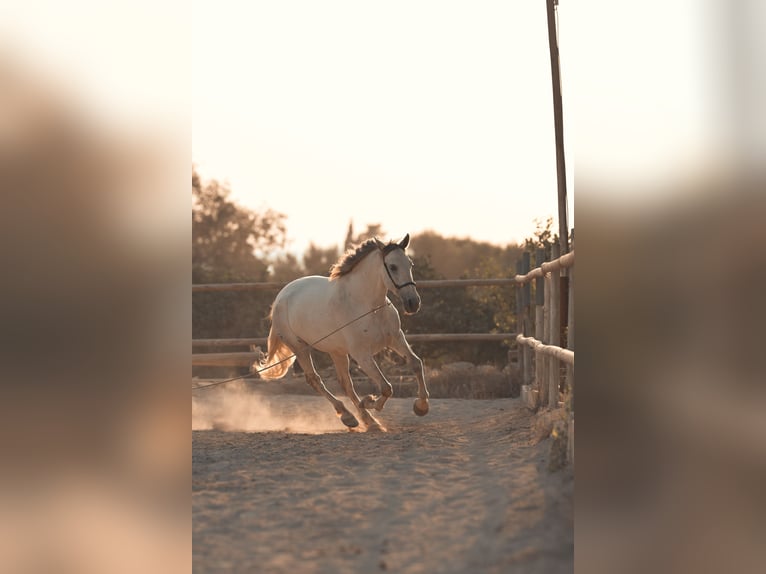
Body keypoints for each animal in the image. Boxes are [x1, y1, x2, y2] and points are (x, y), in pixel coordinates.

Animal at [256, 234, 430, 431]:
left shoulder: (396, 339)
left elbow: (416, 364)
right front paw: (369, 401)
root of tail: (280, 298)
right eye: (392, 266)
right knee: (315, 379)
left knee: (345, 383)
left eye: (410, 264)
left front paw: (421, 406)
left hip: (336, 351)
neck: (368, 307)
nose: (413, 303)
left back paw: (368, 421)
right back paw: (349, 416)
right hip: (300, 348)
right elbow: (386, 387)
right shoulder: (361, 354)